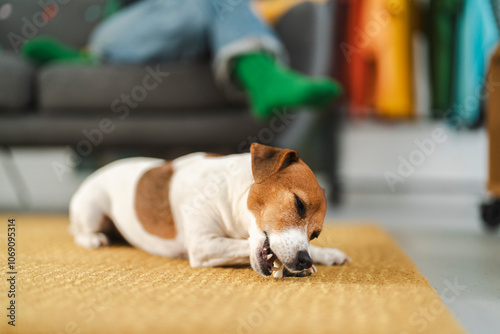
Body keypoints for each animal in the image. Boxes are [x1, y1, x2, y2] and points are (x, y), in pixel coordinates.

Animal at [69, 144, 352, 276]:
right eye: (299, 204)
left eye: (315, 234)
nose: (304, 260)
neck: (229, 194)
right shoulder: (203, 245)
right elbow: (241, 245)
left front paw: (325, 254)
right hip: (92, 209)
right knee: (78, 231)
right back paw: (93, 239)